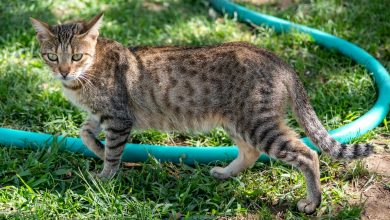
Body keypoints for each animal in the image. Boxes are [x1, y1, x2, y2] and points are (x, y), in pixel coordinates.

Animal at [30, 13, 372, 213]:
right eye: (51, 56)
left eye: (76, 56)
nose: (63, 72)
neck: (83, 78)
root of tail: (275, 57)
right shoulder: (101, 115)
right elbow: (84, 133)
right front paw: (97, 150)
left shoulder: (117, 118)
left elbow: (113, 152)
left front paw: (104, 176)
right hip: (239, 122)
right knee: (250, 153)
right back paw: (225, 172)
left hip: (258, 123)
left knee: (307, 154)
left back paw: (313, 202)